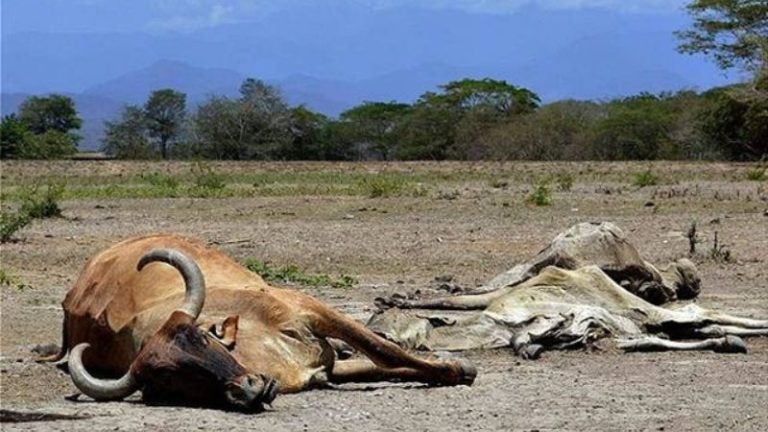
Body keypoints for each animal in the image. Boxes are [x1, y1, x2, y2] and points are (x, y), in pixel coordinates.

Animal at [42, 235, 476, 410]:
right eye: (166, 379)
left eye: (202, 340)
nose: (248, 389)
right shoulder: (324, 373)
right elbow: (382, 364)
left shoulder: (311, 309)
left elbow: (384, 351)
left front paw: (459, 369)